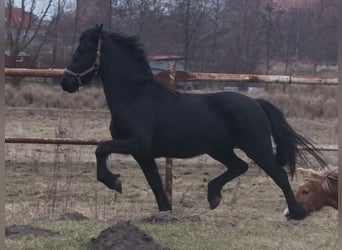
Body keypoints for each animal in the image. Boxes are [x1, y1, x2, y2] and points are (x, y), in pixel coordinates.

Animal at [60, 24, 326, 221]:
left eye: (83, 50)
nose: (66, 83)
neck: (134, 96)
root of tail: (256, 103)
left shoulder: (136, 143)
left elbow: (100, 148)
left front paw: (114, 182)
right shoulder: (143, 153)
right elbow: (155, 182)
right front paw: (164, 213)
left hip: (255, 147)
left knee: (278, 174)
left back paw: (296, 213)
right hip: (220, 149)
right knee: (239, 167)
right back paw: (213, 196)